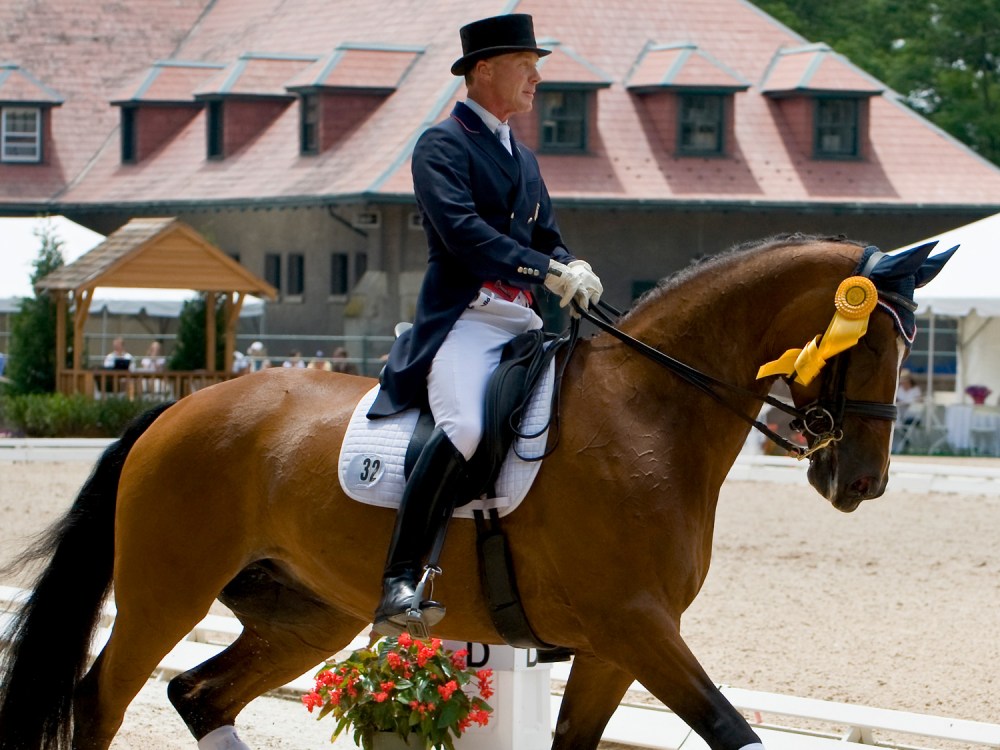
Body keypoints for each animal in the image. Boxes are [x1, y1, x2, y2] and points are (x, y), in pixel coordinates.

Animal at [0, 234, 954, 750]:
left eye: (913, 347)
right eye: (871, 344)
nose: (860, 482)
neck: (651, 413)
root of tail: (175, 410)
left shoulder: (618, 645)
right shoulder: (635, 625)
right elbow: (733, 730)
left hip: (304, 614)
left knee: (197, 695)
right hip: (166, 593)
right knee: (102, 699)